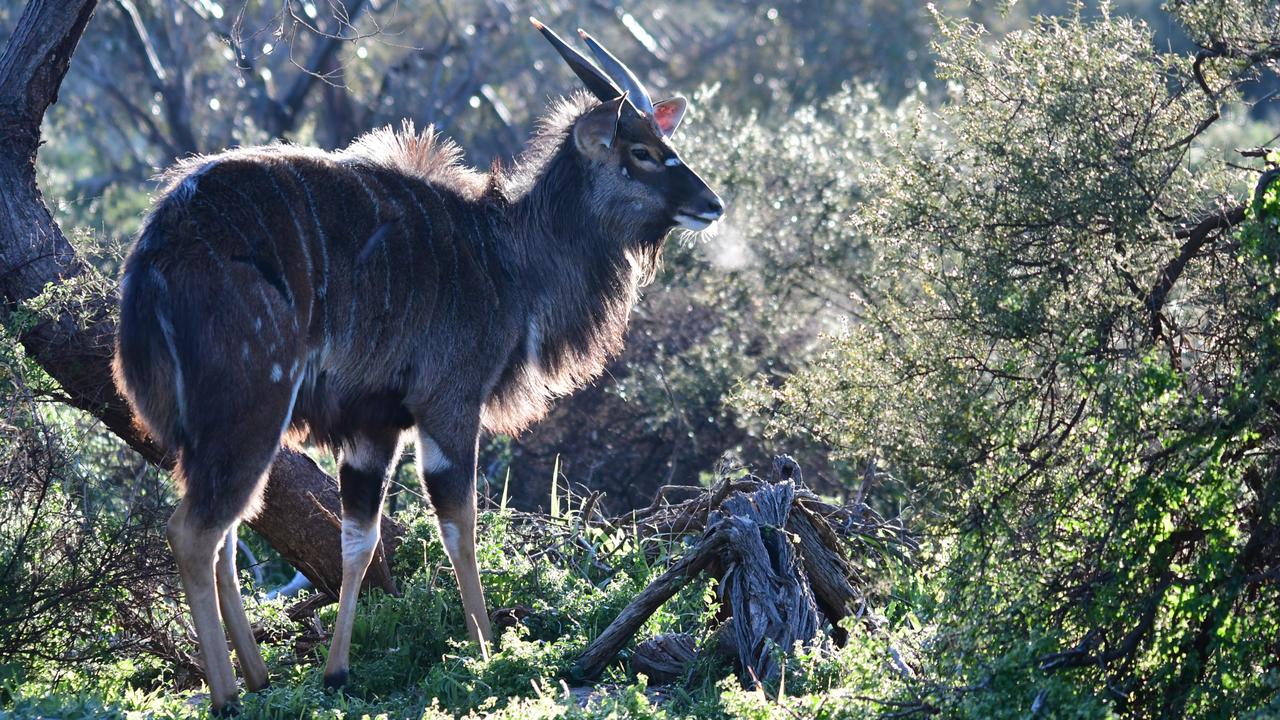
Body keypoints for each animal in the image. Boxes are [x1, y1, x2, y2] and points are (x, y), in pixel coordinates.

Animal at [112, 15, 721, 707]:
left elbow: (359, 537)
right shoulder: (449, 403)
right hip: (253, 409)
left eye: (662, 141)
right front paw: (487, 650)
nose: (713, 203)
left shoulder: (375, 425)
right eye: (639, 152)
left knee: (227, 533)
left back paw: (261, 678)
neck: (507, 255)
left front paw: (338, 672)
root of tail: (155, 252)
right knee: (194, 533)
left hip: (217, 433)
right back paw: (227, 696)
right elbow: (459, 522)